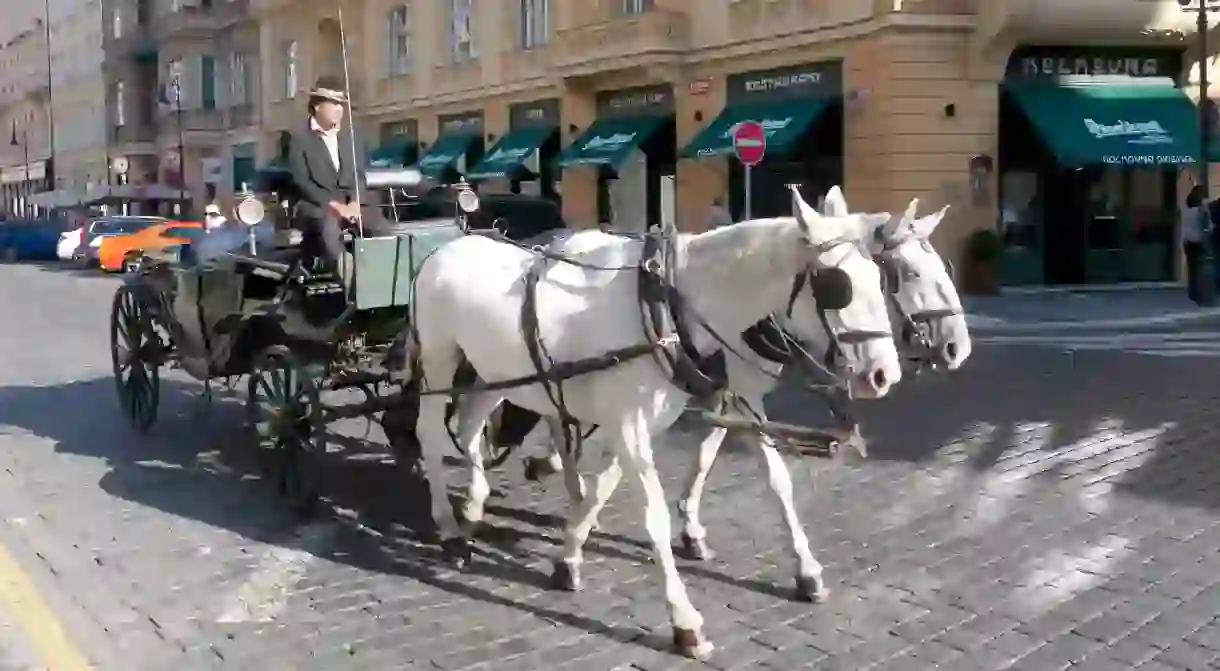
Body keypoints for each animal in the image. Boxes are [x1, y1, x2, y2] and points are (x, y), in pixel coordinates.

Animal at [407, 186, 897, 658]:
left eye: (879, 278)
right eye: (837, 286)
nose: (884, 375)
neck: (668, 307)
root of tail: (443, 250)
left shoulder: (668, 416)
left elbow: (770, 480)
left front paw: (570, 553)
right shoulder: (630, 422)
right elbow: (653, 515)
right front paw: (685, 622)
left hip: (494, 373)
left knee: (469, 425)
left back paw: (474, 503)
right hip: (440, 362)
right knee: (429, 434)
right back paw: (449, 529)